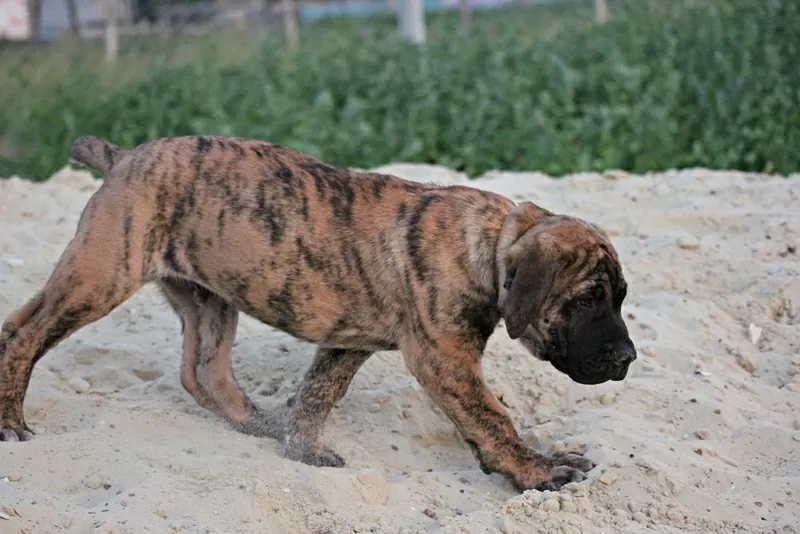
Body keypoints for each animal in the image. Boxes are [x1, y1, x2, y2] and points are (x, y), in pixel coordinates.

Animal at [0, 135, 636, 494]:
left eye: (621, 297)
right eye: (586, 300)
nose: (629, 358)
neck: (490, 243)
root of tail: (124, 157)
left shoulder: (347, 342)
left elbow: (317, 393)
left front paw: (299, 449)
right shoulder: (444, 359)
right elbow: (493, 419)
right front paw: (538, 473)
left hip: (209, 296)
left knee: (203, 372)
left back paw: (260, 424)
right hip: (101, 273)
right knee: (23, 331)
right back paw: (12, 422)